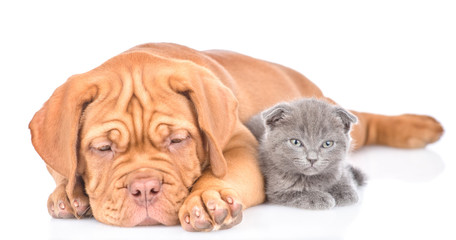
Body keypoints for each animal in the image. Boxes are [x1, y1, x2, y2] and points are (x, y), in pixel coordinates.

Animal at [27, 42, 442, 231]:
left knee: (366, 123)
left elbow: (220, 173)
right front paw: (68, 193)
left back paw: (420, 127)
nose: (144, 188)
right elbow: (62, 169)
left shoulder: (242, 149)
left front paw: (206, 199)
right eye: (102, 148)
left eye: (178, 140)